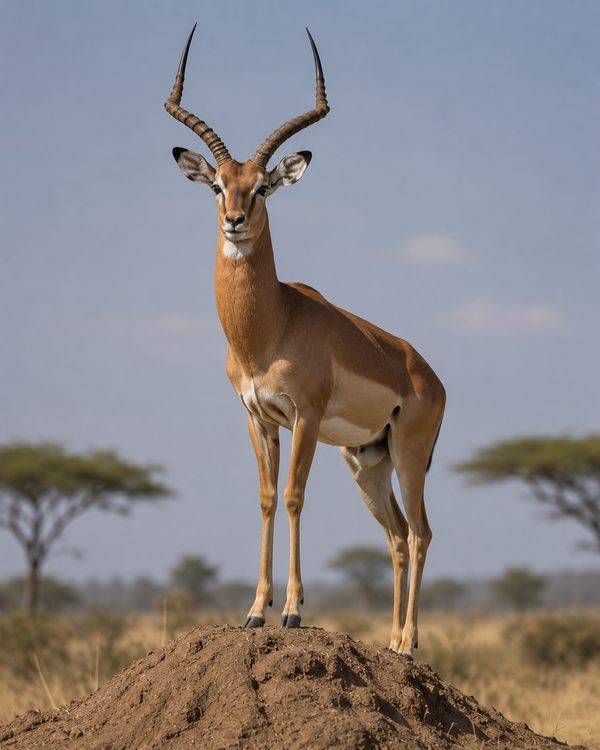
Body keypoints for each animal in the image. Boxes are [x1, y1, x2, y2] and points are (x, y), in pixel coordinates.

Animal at [165, 25, 445, 659]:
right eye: (217, 186)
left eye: (263, 187)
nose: (235, 221)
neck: (270, 327)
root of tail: (429, 375)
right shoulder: (257, 417)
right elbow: (268, 498)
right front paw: (254, 611)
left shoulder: (306, 417)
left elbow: (293, 495)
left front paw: (293, 612)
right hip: (367, 463)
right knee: (396, 536)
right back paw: (389, 641)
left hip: (409, 457)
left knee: (421, 533)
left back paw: (409, 644)